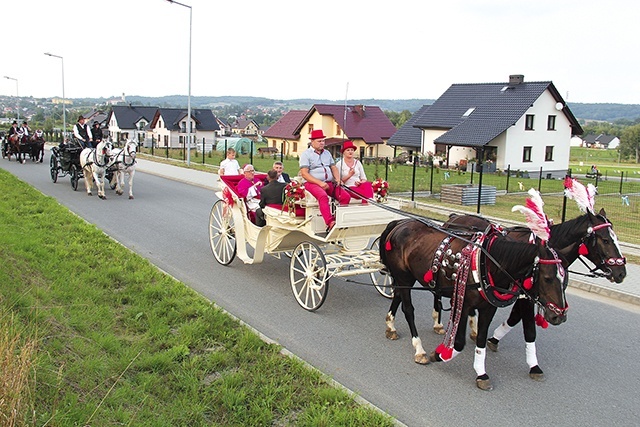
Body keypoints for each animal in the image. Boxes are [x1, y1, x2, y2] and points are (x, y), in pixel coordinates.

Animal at [380, 221, 564, 392]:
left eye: (565, 278)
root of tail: (400, 223)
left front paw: (481, 373)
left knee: (397, 296)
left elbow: (482, 338)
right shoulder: (463, 304)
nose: (559, 316)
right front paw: (439, 355)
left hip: (407, 279)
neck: (487, 263)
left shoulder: (489, 308)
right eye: (547, 278)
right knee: (408, 310)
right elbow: (459, 342)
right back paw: (419, 349)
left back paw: (391, 326)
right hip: (404, 277)